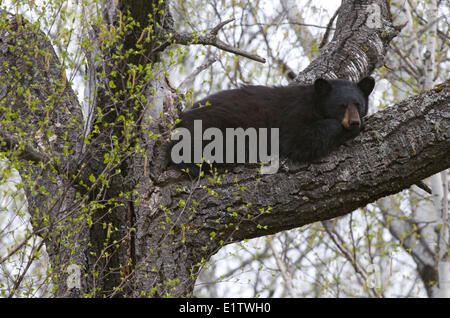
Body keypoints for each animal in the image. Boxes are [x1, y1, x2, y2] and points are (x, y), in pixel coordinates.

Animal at [167, 77, 374, 176]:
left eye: (358, 104)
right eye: (341, 105)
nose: (354, 121)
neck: (315, 102)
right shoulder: (293, 113)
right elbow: (299, 139)